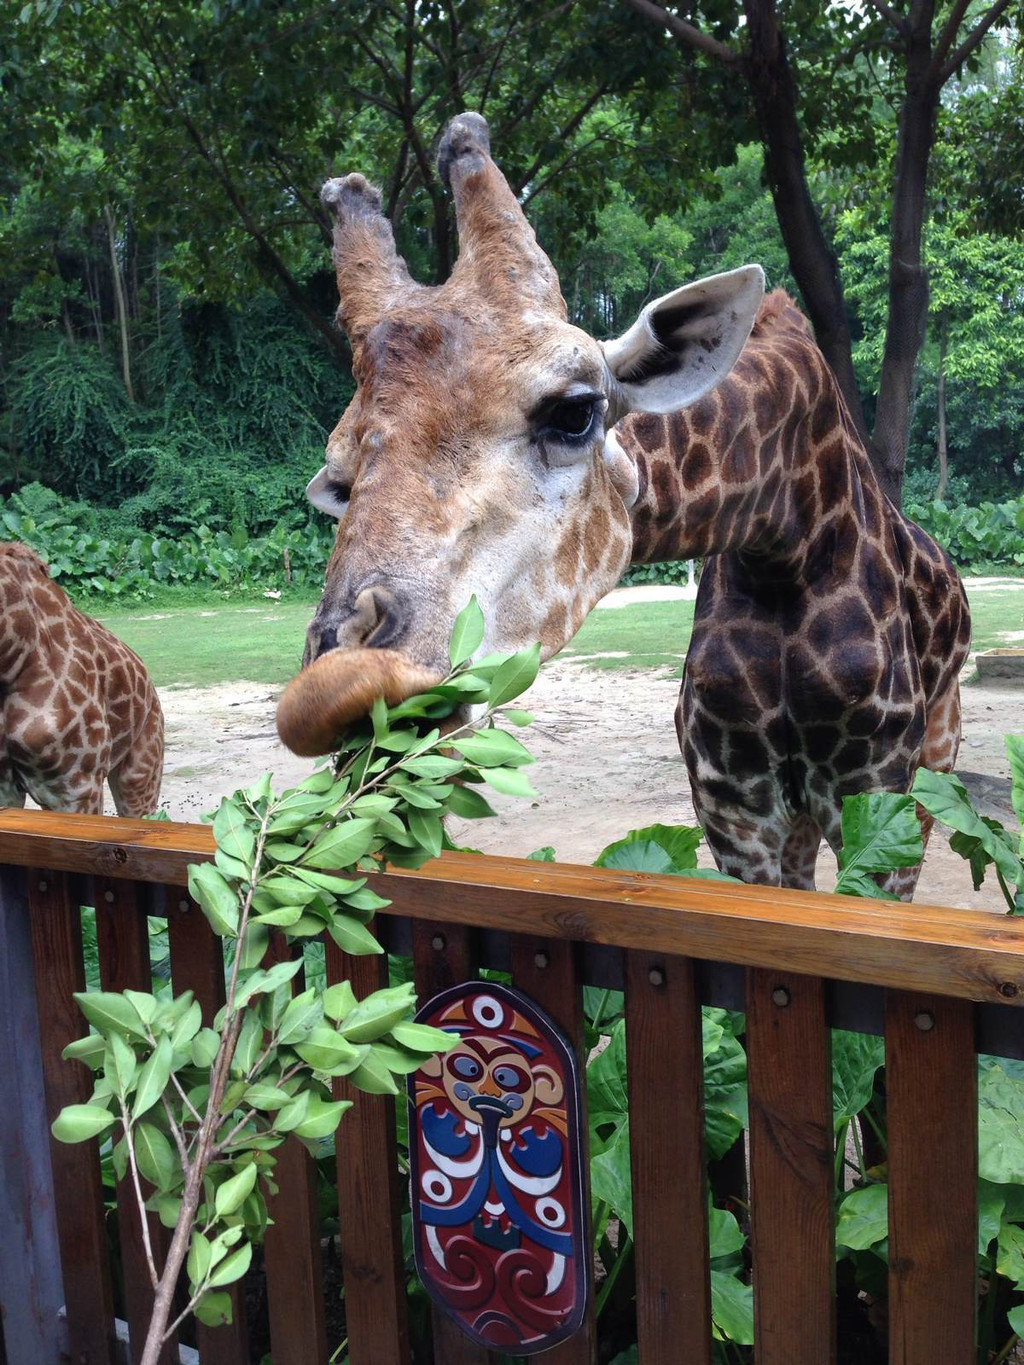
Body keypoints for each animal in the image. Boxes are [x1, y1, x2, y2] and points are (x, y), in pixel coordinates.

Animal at [278, 114, 972, 895]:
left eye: (574, 411)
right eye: (342, 481)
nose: (338, 690)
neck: (783, 538)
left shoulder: (875, 795)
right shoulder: (733, 807)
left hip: (936, 759)